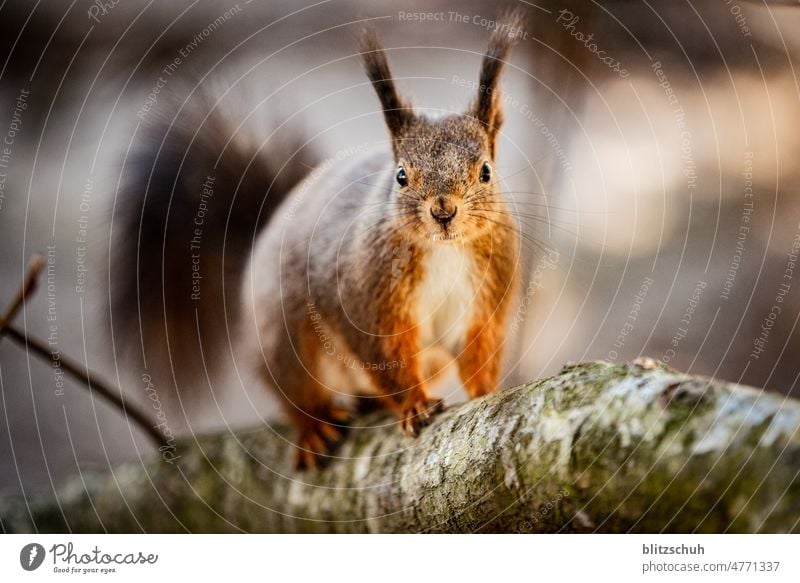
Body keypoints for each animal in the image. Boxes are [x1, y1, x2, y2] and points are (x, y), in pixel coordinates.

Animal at [112, 12, 524, 470]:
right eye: (401, 175)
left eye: (486, 171)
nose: (444, 211)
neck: (443, 250)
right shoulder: (366, 302)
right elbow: (388, 359)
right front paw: (414, 406)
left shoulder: (485, 300)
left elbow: (477, 352)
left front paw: (486, 391)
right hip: (285, 342)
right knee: (297, 396)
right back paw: (315, 428)